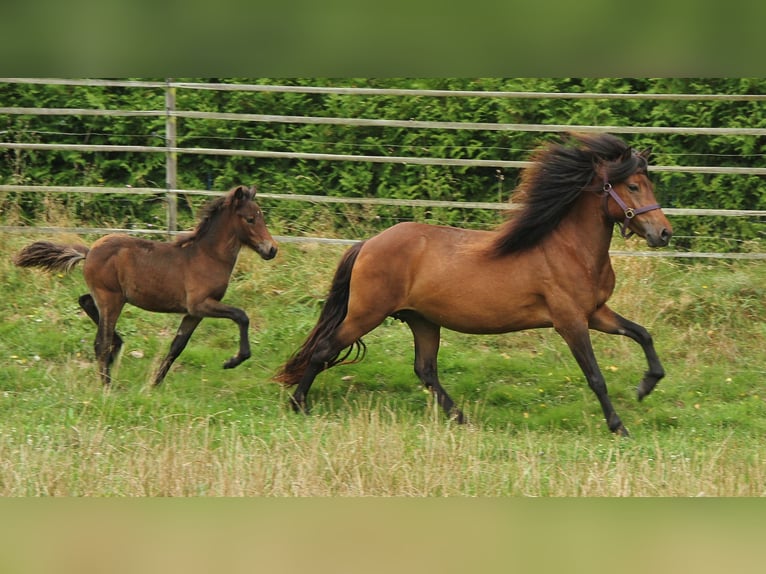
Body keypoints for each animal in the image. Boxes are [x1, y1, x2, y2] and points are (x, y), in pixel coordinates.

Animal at [15, 187, 280, 390]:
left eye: (261, 216)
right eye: (250, 219)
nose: (272, 249)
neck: (207, 256)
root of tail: (89, 252)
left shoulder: (193, 313)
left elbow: (177, 346)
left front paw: (154, 383)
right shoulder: (201, 304)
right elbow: (241, 316)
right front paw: (233, 361)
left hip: (108, 297)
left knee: (86, 302)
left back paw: (117, 346)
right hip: (111, 299)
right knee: (101, 341)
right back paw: (107, 385)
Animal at [280, 135, 676, 438]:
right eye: (633, 186)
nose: (664, 233)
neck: (570, 249)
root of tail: (367, 244)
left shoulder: (595, 313)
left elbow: (642, 334)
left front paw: (646, 385)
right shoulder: (570, 322)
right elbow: (596, 377)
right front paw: (619, 427)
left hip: (422, 320)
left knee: (425, 370)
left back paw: (462, 419)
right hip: (367, 314)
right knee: (324, 349)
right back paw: (299, 404)